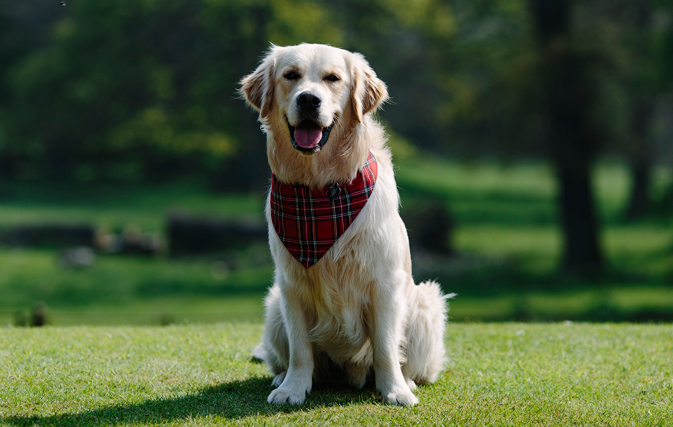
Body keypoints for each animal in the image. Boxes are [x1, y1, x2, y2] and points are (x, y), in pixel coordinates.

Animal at [238, 43, 452, 408]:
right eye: (290, 75)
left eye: (333, 78)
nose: (308, 100)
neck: (320, 190)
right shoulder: (291, 284)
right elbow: (300, 349)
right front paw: (293, 388)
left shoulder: (384, 282)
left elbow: (385, 346)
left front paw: (394, 390)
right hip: (274, 308)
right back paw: (281, 377)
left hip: (425, 305)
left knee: (413, 362)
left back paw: (407, 381)